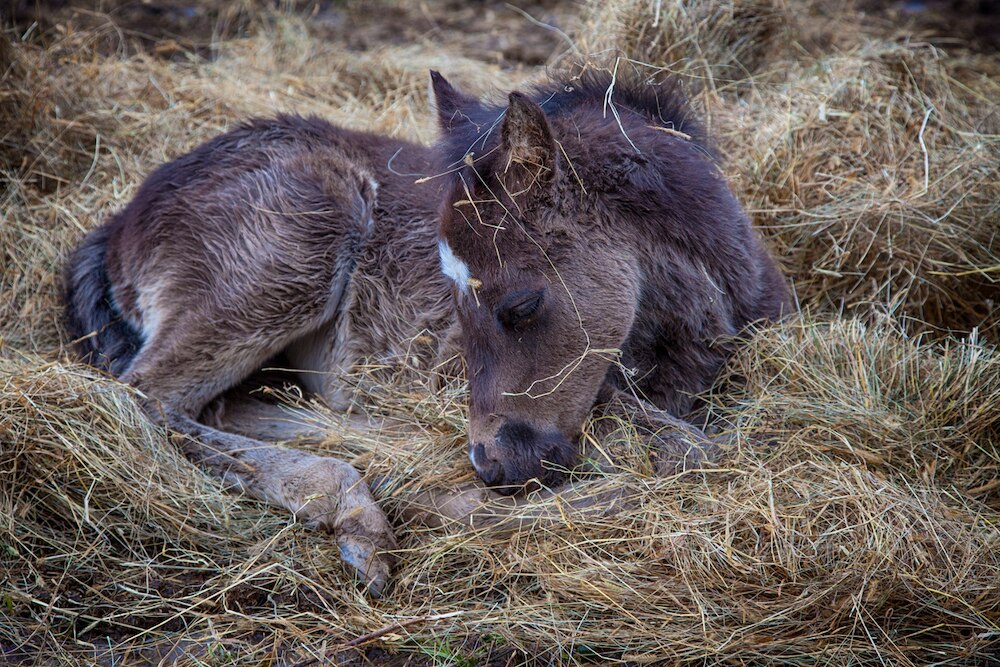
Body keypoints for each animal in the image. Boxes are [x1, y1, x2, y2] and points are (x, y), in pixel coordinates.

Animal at [64, 69, 791, 596]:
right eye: (452, 299)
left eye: (521, 304)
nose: (493, 464)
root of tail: (121, 223)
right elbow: (691, 454)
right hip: (291, 254)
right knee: (144, 397)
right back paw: (364, 510)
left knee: (222, 404)